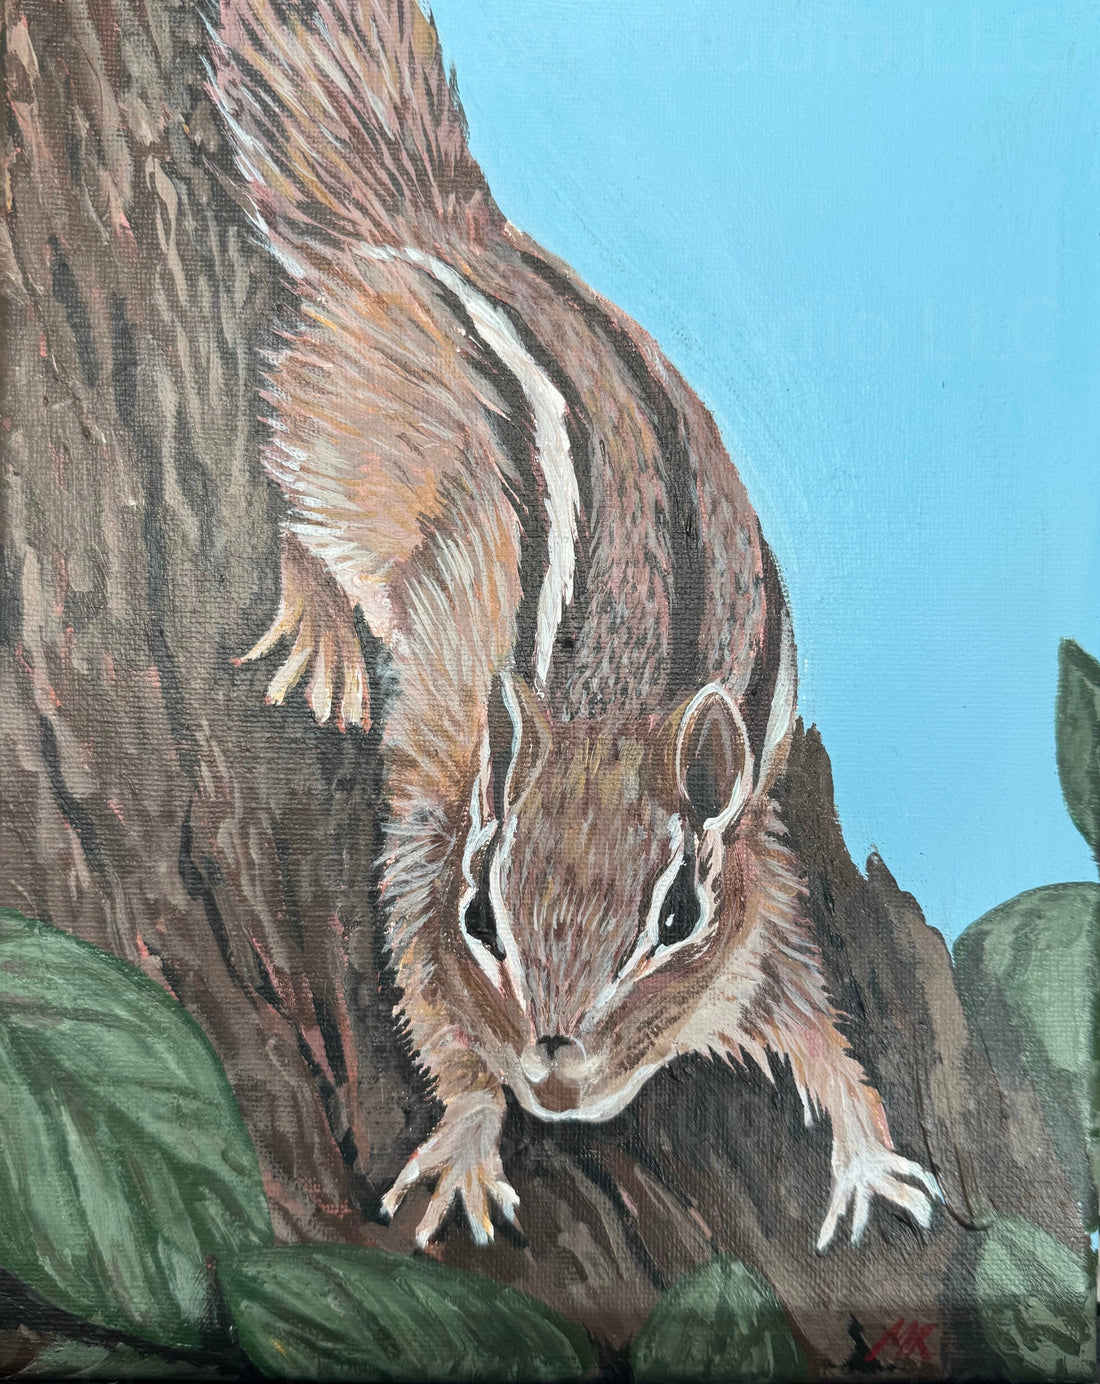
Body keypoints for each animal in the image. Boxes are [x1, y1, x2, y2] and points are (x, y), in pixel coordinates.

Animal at [208, 0, 940, 1252]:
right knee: (295, 513)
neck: (610, 720)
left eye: (677, 916)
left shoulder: (761, 900)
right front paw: (465, 1134)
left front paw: (867, 1156)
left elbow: (815, 1024)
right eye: (481, 915)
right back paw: (321, 631)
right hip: (341, 447)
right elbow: (425, 997)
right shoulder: (427, 847)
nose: (551, 1076)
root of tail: (426, 222)